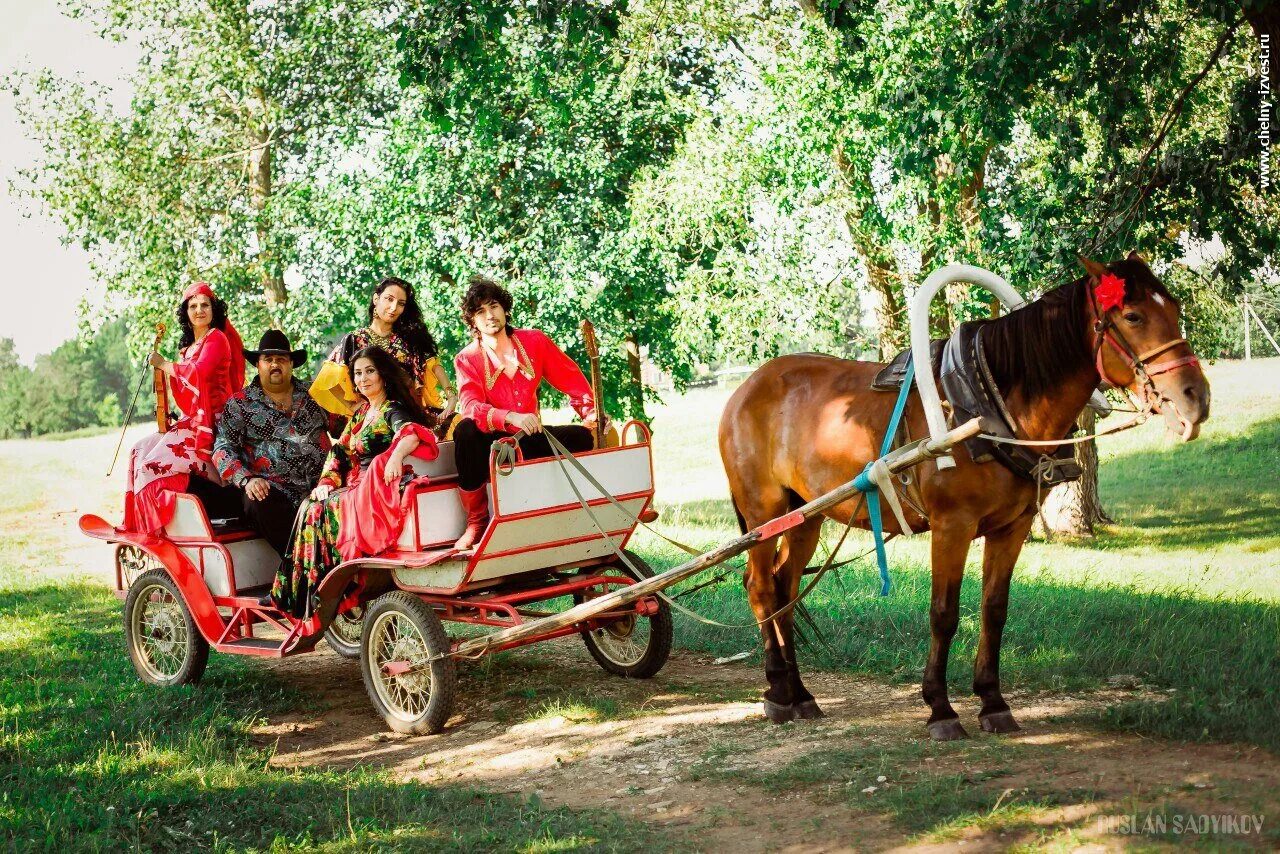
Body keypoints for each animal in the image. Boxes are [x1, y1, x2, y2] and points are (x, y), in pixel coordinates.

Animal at [721, 253, 1208, 742]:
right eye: (1133, 316)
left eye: (1175, 309)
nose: (1196, 397)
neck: (986, 401)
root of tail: (746, 388)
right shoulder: (951, 526)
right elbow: (944, 613)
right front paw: (941, 707)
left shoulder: (1013, 526)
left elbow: (994, 610)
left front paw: (993, 701)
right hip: (764, 512)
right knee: (761, 586)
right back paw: (777, 690)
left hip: (804, 516)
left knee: (785, 588)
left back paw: (800, 693)